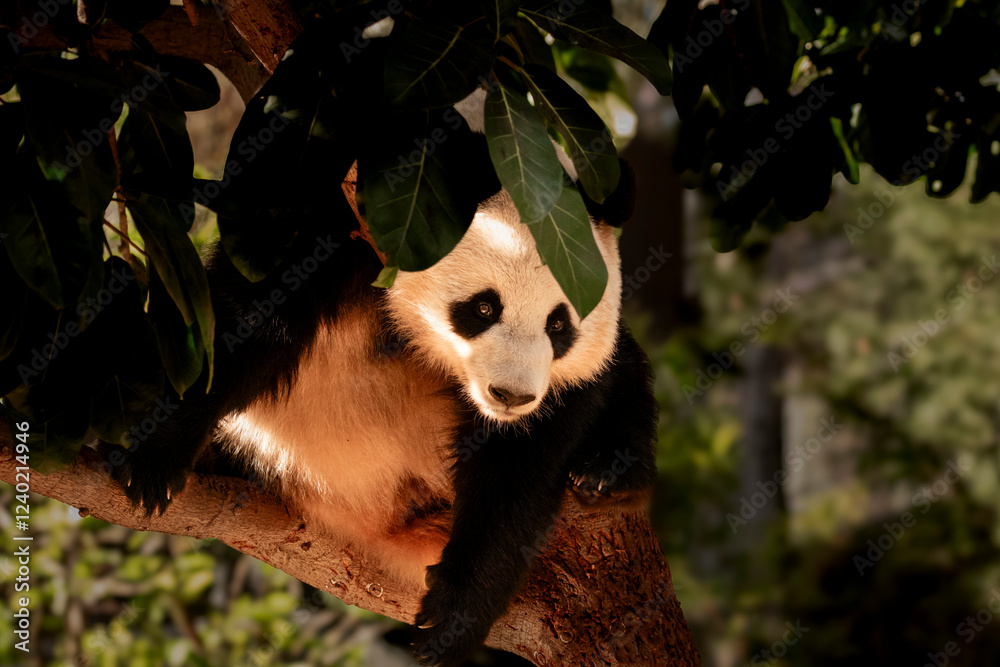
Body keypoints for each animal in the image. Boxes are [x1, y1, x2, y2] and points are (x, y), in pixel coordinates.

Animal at [110, 90, 659, 666]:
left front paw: (452, 621)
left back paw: (609, 475)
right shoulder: (343, 215)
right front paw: (153, 459)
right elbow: (251, 319)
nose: (510, 395)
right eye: (484, 308)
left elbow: (520, 471)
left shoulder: (559, 387)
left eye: (559, 323)